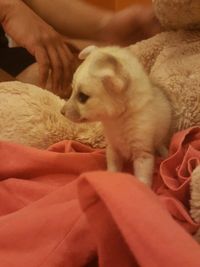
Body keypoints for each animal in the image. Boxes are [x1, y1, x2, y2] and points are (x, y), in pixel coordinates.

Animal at [62, 45, 172, 186]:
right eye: (72, 91)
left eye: (82, 97)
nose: (61, 112)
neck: (118, 120)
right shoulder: (113, 150)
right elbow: (113, 169)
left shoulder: (143, 155)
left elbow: (142, 179)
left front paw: (142, 189)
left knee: (159, 143)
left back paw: (165, 153)